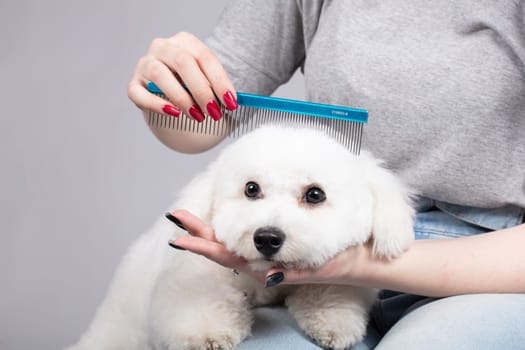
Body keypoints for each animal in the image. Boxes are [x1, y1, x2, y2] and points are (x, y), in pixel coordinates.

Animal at [66, 125, 414, 350]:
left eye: (315, 194)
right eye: (251, 188)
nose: (267, 238)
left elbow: (331, 290)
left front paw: (333, 320)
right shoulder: (190, 274)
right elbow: (199, 298)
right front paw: (208, 333)